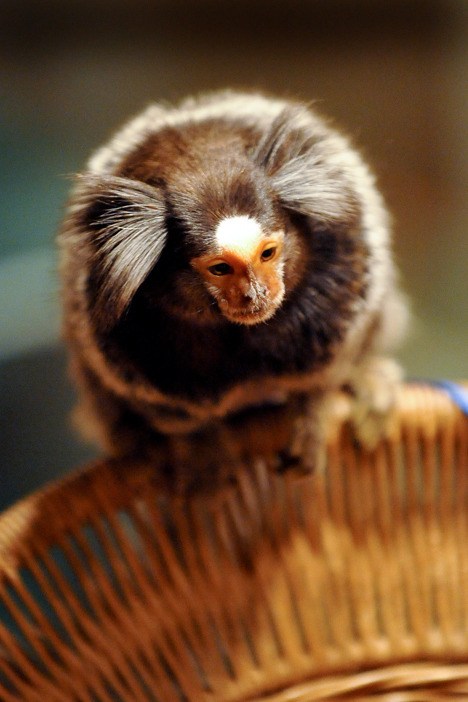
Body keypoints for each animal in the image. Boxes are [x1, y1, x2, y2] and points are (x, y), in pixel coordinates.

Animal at [58, 90, 408, 486]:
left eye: (268, 253)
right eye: (220, 269)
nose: (256, 294)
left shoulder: (343, 288)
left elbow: (324, 376)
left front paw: (312, 414)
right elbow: (177, 418)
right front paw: (202, 454)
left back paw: (370, 382)